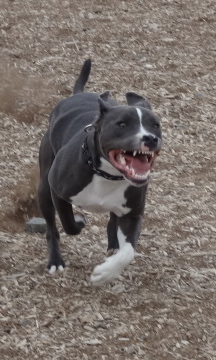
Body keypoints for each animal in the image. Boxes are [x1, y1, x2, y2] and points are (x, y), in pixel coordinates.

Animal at [38, 59, 161, 286]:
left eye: (156, 125)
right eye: (122, 124)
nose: (150, 138)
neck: (107, 174)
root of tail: (77, 94)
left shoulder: (132, 214)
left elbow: (128, 251)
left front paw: (106, 273)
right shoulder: (57, 191)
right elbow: (68, 224)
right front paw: (77, 223)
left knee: (112, 221)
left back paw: (113, 245)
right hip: (43, 188)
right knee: (52, 227)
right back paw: (55, 260)